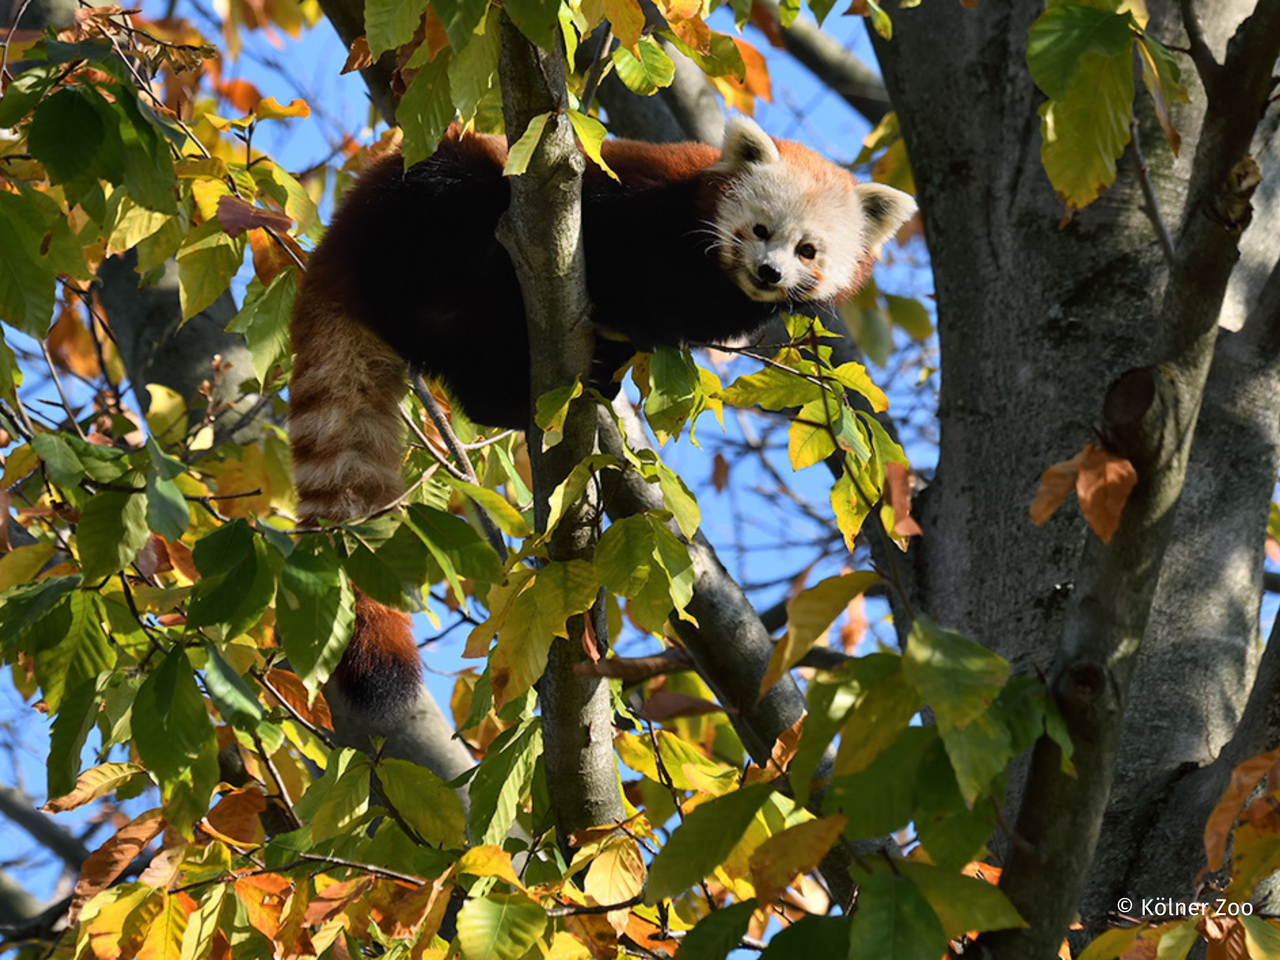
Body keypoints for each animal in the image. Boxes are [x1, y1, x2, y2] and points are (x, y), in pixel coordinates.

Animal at [289, 118, 916, 752]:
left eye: (808, 250)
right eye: (760, 229)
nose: (769, 272)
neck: (704, 275)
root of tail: (340, 241)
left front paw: (627, 342)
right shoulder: (630, 195)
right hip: (431, 187)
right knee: (461, 194)